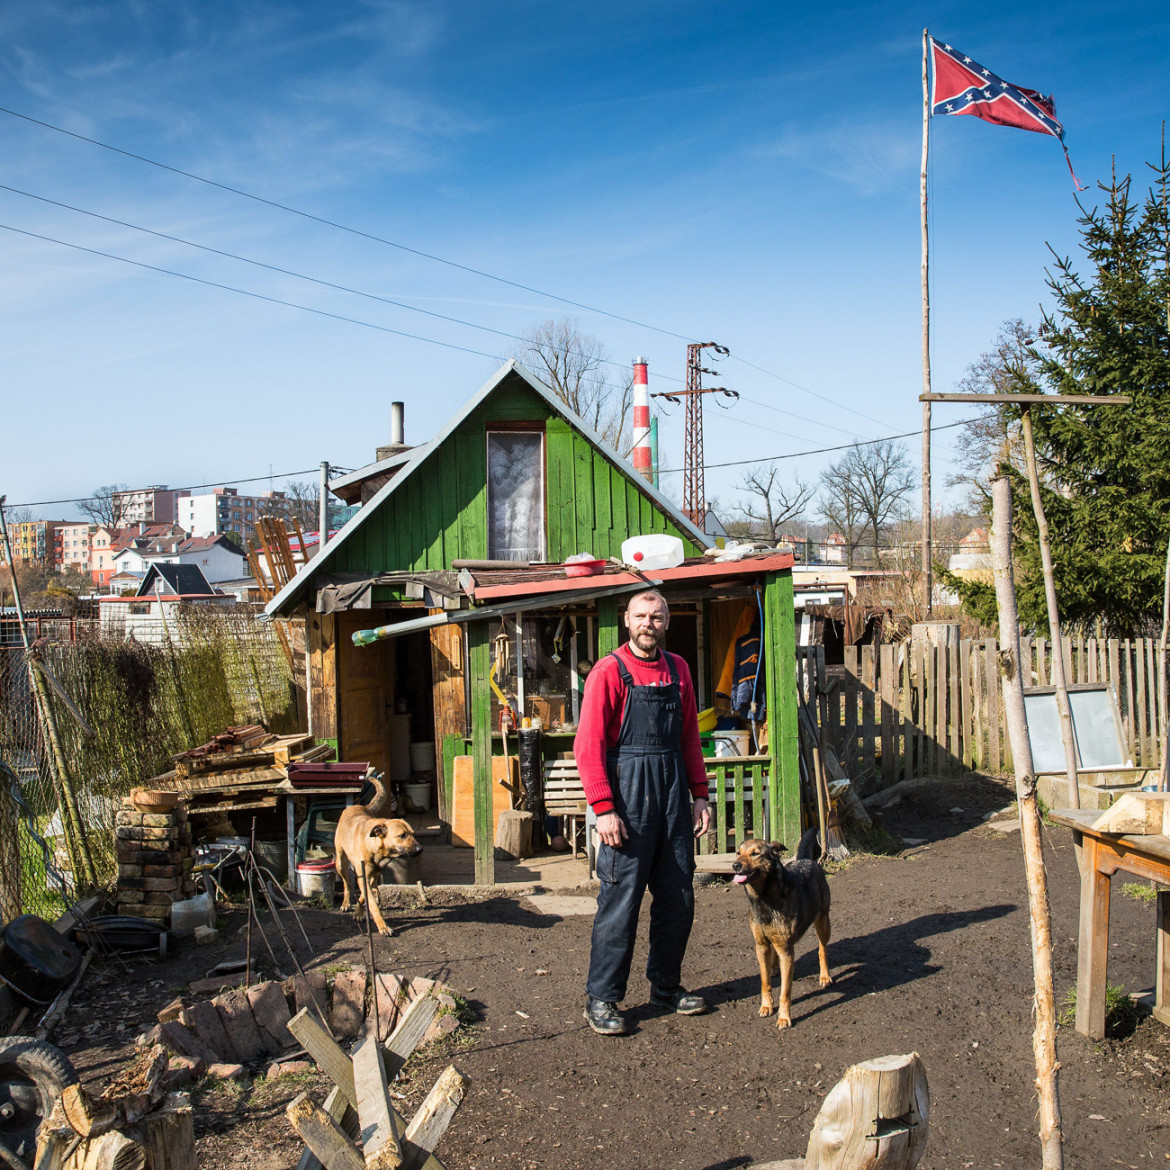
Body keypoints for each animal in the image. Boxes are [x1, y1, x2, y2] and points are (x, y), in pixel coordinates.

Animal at [332, 776, 423, 940]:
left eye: (413, 834)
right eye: (402, 835)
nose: (420, 849)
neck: (375, 847)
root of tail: (359, 806)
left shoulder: (371, 874)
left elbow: (365, 896)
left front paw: (360, 911)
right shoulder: (363, 876)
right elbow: (372, 905)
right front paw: (383, 927)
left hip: (373, 872)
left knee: (370, 886)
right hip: (340, 862)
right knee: (347, 884)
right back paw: (346, 903)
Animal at [730, 828, 833, 1029]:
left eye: (755, 853)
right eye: (738, 852)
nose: (735, 865)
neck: (764, 899)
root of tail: (807, 860)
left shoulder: (787, 950)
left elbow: (785, 991)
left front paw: (784, 1018)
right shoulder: (761, 946)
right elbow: (765, 982)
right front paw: (766, 1006)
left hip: (823, 923)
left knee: (822, 950)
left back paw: (825, 977)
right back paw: (774, 968)